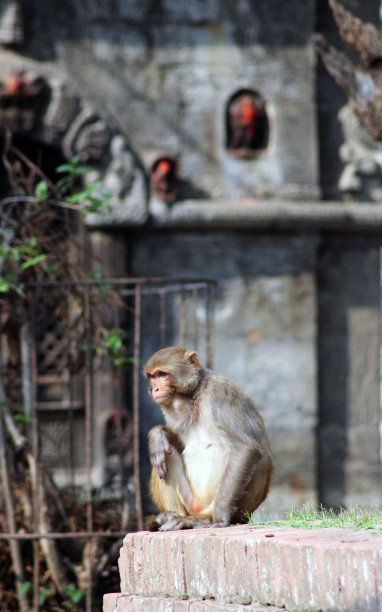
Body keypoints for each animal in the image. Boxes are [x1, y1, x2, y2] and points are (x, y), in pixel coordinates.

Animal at [143, 350, 272, 532]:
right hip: (190, 502)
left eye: (162, 374)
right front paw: (157, 435)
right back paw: (169, 517)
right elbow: (176, 443)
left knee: (261, 459)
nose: (155, 388)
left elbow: (245, 448)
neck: (193, 397)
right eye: (152, 376)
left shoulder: (219, 394)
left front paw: (221, 518)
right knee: (163, 456)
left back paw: (201, 520)